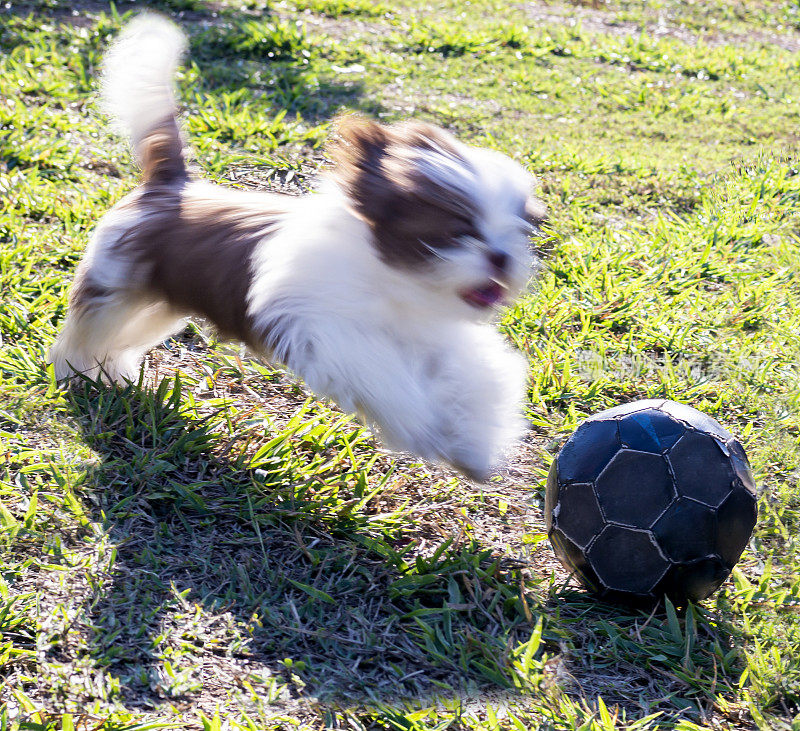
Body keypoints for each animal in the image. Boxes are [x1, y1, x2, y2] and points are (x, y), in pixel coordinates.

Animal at [47, 14, 548, 480]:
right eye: (459, 230)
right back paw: (77, 372)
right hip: (115, 282)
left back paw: (110, 370)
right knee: (91, 328)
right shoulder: (327, 328)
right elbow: (383, 375)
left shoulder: (433, 336)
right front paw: (426, 427)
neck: (390, 280)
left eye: (520, 230)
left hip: (161, 304)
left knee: (126, 333)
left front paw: (473, 446)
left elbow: (475, 375)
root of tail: (171, 186)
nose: (500, 257)